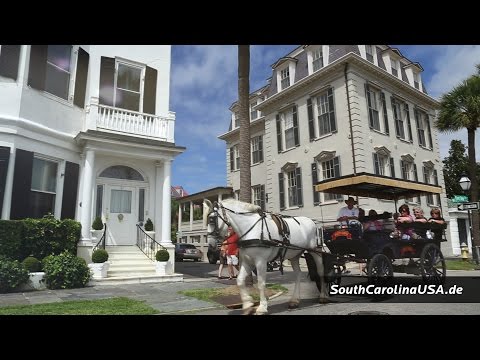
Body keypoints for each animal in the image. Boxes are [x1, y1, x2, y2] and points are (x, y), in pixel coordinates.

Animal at [202, 198, 330, 314]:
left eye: (212, 219)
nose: (211, 245)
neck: (252, 229)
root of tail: (312, 222)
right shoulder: (247, 261)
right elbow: (240, 280)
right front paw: (248, 304)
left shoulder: (260, 261)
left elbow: (261, 283)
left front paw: (262, 307)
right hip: (294, 255)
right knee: (298, 274)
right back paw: (295, 300)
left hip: (316, 251)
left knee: (320, 271)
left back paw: (323, 296)